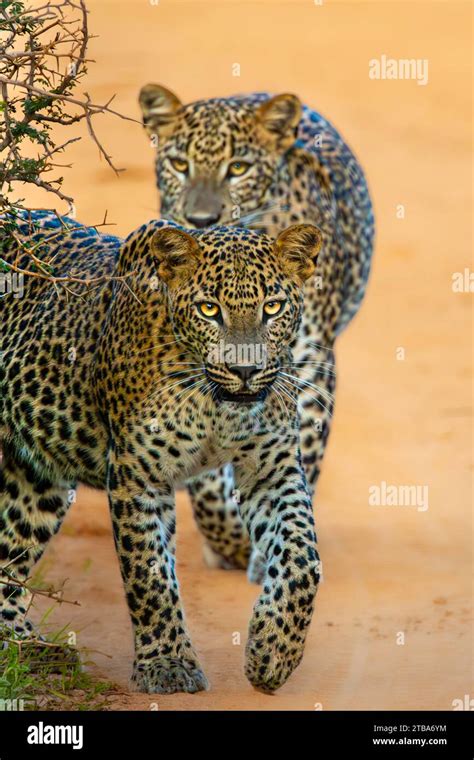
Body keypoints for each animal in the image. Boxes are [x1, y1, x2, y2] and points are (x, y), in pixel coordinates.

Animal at [0, 209, 322, 696]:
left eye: (272, 307)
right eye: (209, 309)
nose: (246, 370)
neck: (214, 402)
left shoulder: (271, 469)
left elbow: (303, 556)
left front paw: (273, 651)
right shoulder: (139, 475)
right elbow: (148, 571)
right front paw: (167, 664)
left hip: (33, 476)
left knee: (9, 552)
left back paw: (26, 648)